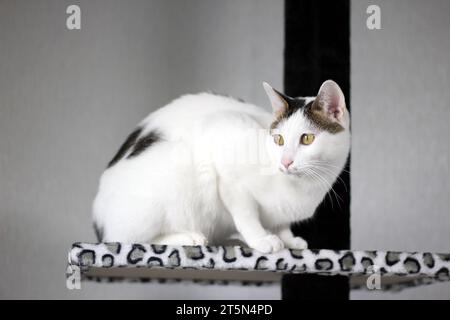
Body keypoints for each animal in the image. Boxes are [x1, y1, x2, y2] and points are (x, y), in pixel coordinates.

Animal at [92, 80, 352, 252]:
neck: (302, 188)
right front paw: (261, 240)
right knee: (127, 239)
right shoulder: (225, 161)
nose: (285, 161)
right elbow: (246, 215)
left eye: (307, 139)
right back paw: (190, 238)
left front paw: (288, 240)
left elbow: (281, 224)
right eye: (278, 140)